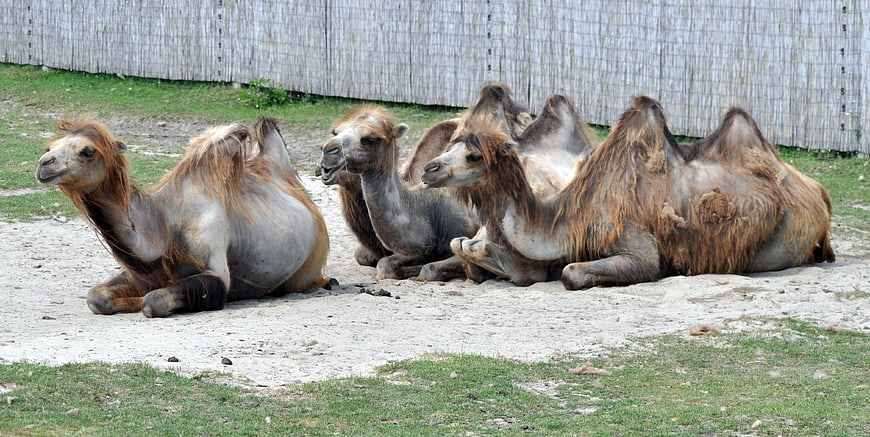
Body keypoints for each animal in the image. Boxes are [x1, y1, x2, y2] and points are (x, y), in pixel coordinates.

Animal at [35, 117, 330, 317]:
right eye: (51, 146)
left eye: (87, 151)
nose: (43, 164)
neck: (166, 222)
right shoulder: (144, 272)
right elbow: (96, 297)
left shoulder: (214, 265)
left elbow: (153, 302)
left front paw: (140, 302)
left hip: (307, 269)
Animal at [422, 95, 835, 289]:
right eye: (452, 143)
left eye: (474, 155)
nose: (428, 169)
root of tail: (819, 192)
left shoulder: (637, 246)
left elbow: (571, 272)